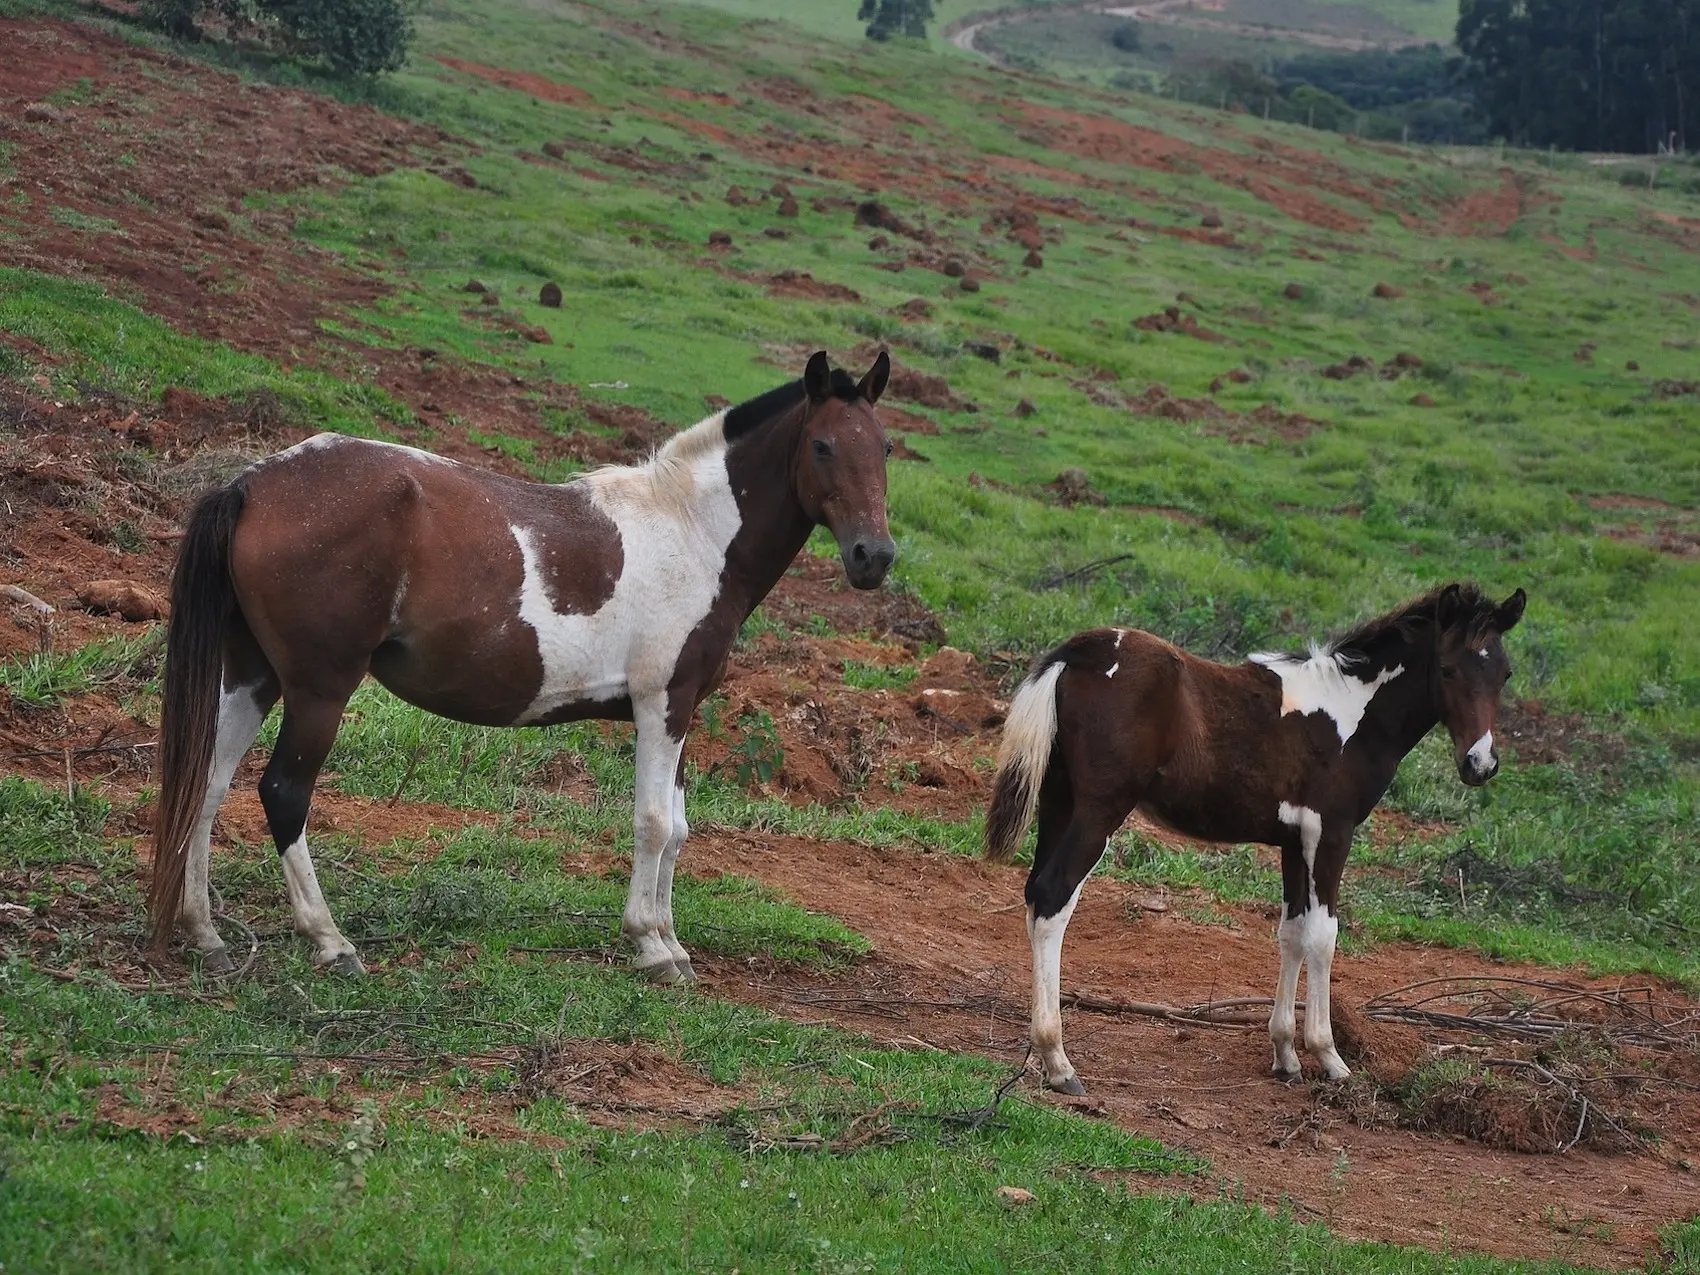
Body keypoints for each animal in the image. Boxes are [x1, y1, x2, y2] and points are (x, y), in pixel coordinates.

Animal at [153, 355, 897, 986]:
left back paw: (204, 932)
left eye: (884, 448)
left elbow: (679, 830)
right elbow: (654, 822)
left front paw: (672, 942)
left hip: (253, 677)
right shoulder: (662, 702)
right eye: (823, 445)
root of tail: (253, 483)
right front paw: (651, 945)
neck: (691, 531)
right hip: (319, 688)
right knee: (282, 792)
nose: (875, 556)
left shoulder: (681, 709)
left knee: (207, 783)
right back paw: (330, 940)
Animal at [986, 588, 1530, 1101]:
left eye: (1504, 674)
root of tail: (1083, 649)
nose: (1480, 764)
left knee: (1035, 893)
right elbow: (1323, 935)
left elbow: (1291, 933)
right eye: (1448, 669)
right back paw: (1059, 1062)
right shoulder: (1330, 833)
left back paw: (1037, 1055)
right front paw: (1329, 1056)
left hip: (1058, 800)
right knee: (1054, 898)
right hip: (1100, 808)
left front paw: (1285, 1055)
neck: (1352, 715)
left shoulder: (1294, 840)